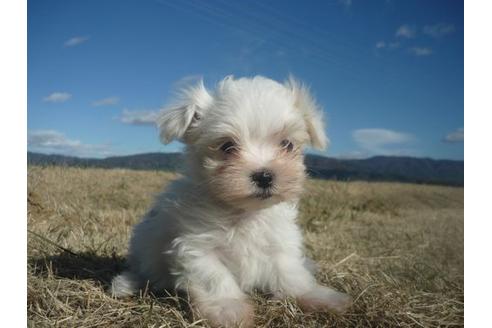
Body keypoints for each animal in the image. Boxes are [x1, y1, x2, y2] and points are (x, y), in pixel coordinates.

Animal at [112, 76, 350, 326]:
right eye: (227, 146)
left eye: (287, 144)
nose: (264, 176)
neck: (244, 212)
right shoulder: (197, 247)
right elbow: (215, 279)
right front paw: (227, 309)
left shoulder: (279, 243)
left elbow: (291, 273)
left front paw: (317, 296)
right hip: (144, 244)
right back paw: (127, 283)